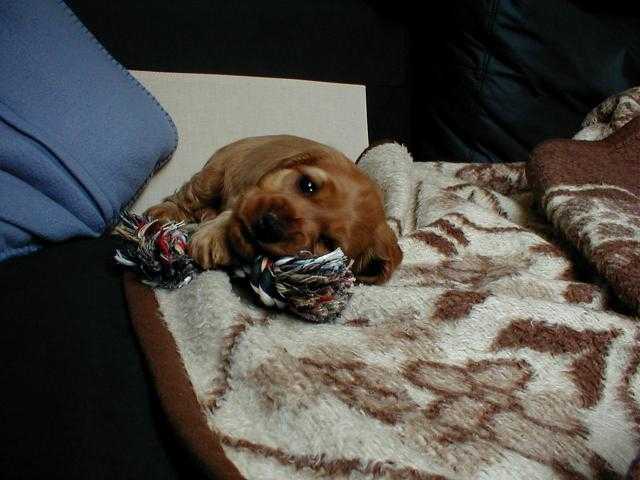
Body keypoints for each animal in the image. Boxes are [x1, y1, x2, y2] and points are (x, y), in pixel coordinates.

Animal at [145, 135, 402, 284]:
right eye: (307, 185)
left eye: (328, 243)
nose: (270, 224)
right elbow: (237, 206)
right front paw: (214, 236)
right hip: (212, 175)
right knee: (186, 196)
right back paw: (164, 212)